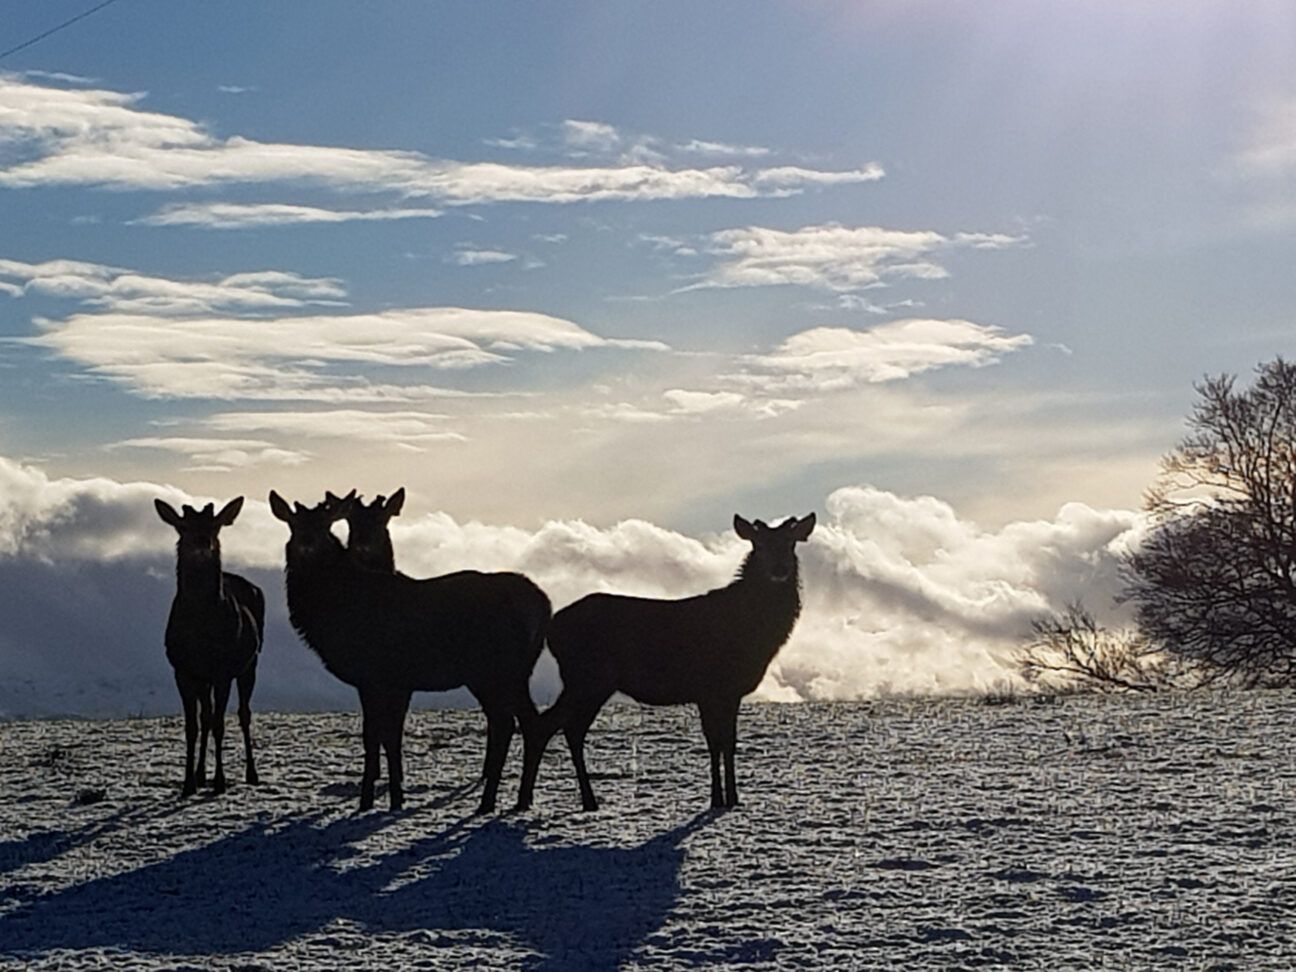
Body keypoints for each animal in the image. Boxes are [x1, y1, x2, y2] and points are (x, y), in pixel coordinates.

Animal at [154, 502, 265, 798]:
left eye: (215, 525)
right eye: (182, 526)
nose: (202, 542)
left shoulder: (223, 670)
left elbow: (219, 723)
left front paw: (220, 782)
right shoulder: (182, 670)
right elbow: (193, 726)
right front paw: (188, 783)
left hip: (251, 663)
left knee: (243, 714)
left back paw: (251, 774)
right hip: (205, 679)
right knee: (205, 717)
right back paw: (200, 774)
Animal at [270, 489, 554, 819]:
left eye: (325, 525)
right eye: (293, 525)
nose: (306, 542)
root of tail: (545, 606)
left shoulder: (380, 675)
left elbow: (381, 735)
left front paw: (384, 799)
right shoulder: (385, 681)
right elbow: (380, 736)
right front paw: (383, 799)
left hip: (497, 669)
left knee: (512, 723)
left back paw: (493, 801)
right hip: (508, 672)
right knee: (521, 722)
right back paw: (517, 799)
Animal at [513, 518, 808, 813]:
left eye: (790, 541)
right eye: (759, 544)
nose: (779, 568)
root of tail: (552, 628)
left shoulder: (730, 692)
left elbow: (729, 741)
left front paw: (734, 799)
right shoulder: (708, 687)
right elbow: (714, 742)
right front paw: (716, 799)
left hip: (589, 683)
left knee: (568, 729)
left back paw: (571, 800)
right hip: (586, 678)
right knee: (552, 725)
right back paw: (536, 800)